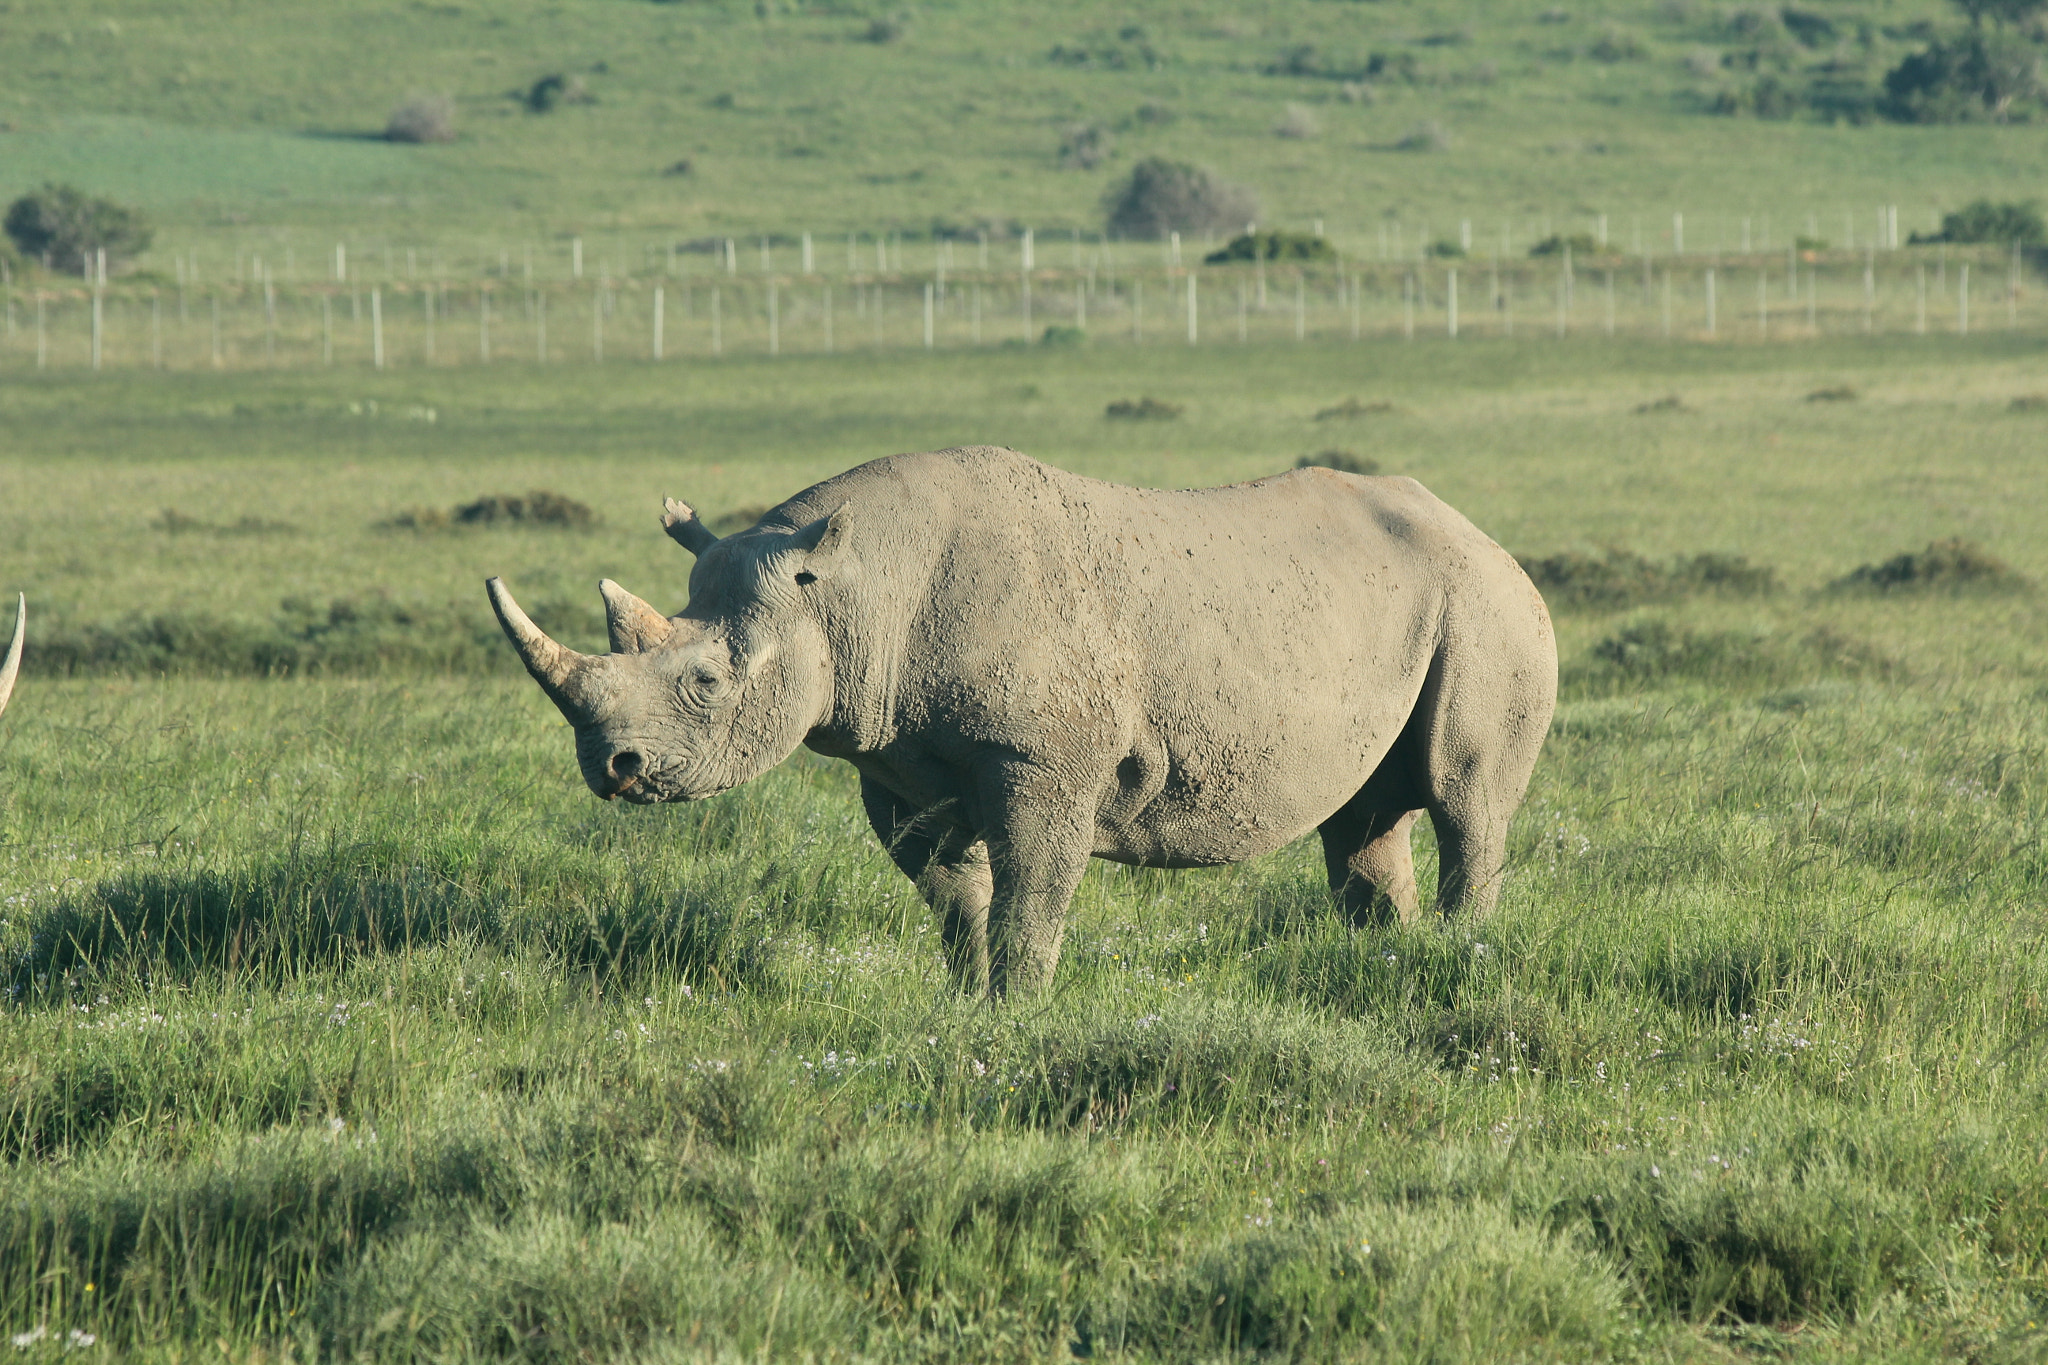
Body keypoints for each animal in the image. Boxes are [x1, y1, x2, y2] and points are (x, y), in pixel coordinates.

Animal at [487, 447, 1555, 996]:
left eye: (706, 681)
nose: (613, 768)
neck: (845, 590)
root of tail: (1489, 538)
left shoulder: (1045, 758)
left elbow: (1030, 895)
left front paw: (1022, 1008)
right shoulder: (898, 760)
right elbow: (955, 896)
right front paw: (966, 1005)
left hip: (1488, 607)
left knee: (1464, 801)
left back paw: (1461, 958)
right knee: (1363, 818)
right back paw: (1382, 962)